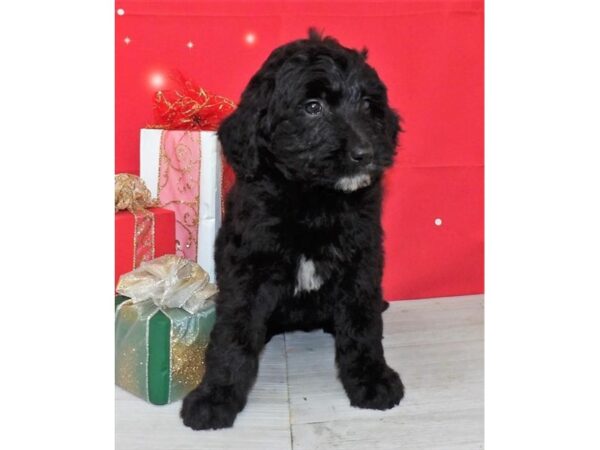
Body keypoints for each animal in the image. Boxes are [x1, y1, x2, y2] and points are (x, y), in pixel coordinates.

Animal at [178, 29, 404, 430]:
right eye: (313, 107)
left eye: (367, 105)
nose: (365, 152)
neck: (313, 201)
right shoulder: (247, 268)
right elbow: (232, 333)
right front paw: (216, 395)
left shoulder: (361, 261)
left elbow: (362, 324)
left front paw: (371, 378)